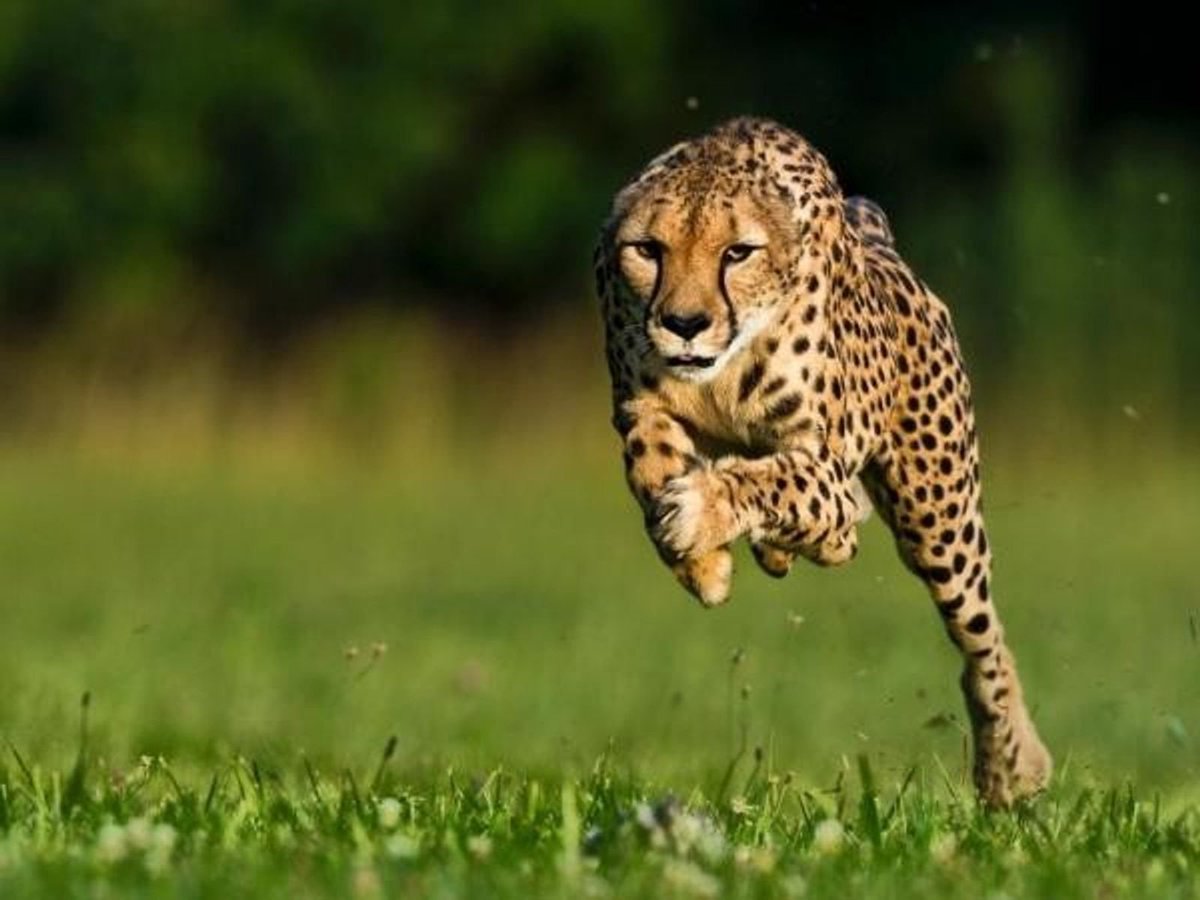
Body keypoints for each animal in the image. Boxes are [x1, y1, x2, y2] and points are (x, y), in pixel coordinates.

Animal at [593, 117, 1051, 808]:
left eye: (738, 252)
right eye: (648, 250)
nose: (684, 323)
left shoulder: (824, 466)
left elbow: (776, 480)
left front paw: (700, 514)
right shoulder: (639, 403)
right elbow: (650, 462)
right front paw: (702, 564)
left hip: (937, 518)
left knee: (982, 637)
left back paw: (1011, 766)